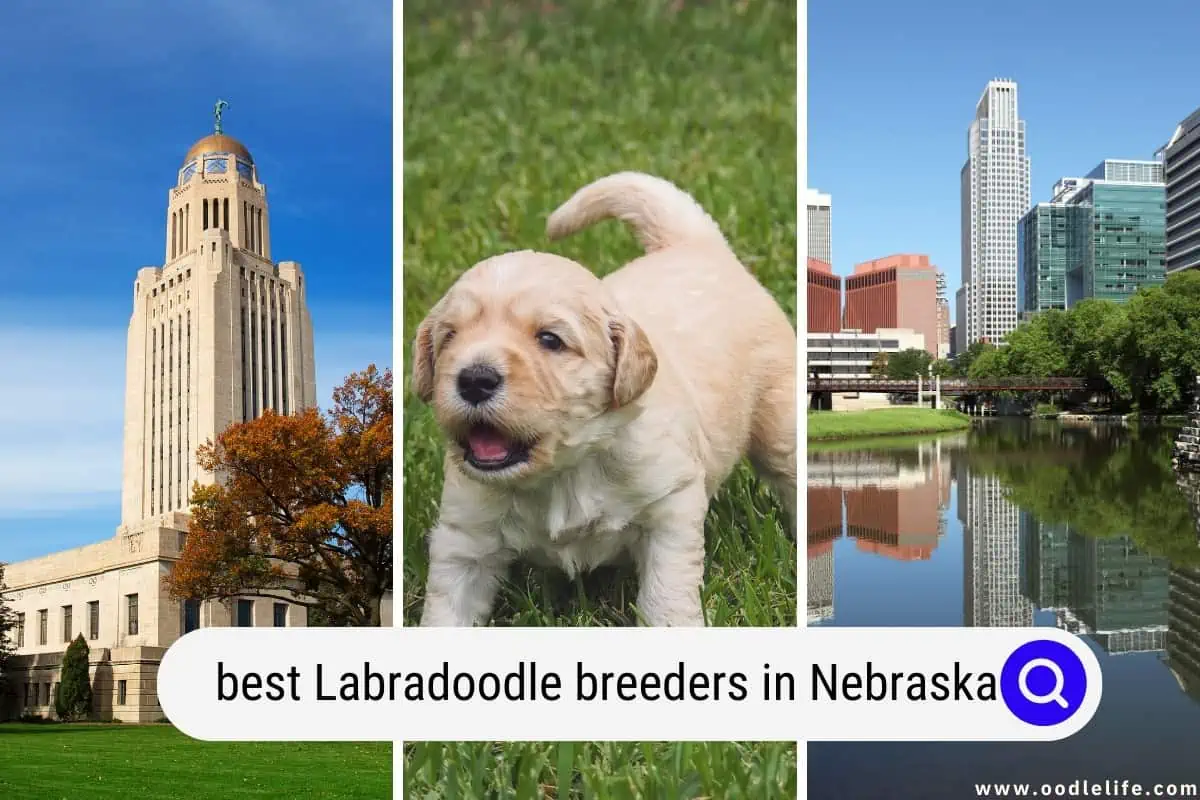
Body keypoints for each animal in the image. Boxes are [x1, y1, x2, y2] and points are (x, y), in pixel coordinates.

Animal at [412, 172, 796, 628]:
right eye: (450, 337)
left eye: (550, 340)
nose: (474, 379)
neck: (564, 471)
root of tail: (695, 242)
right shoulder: (465, 534)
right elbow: (447, 604)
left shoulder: (670, 507)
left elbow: (666, 593)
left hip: (779, 418)